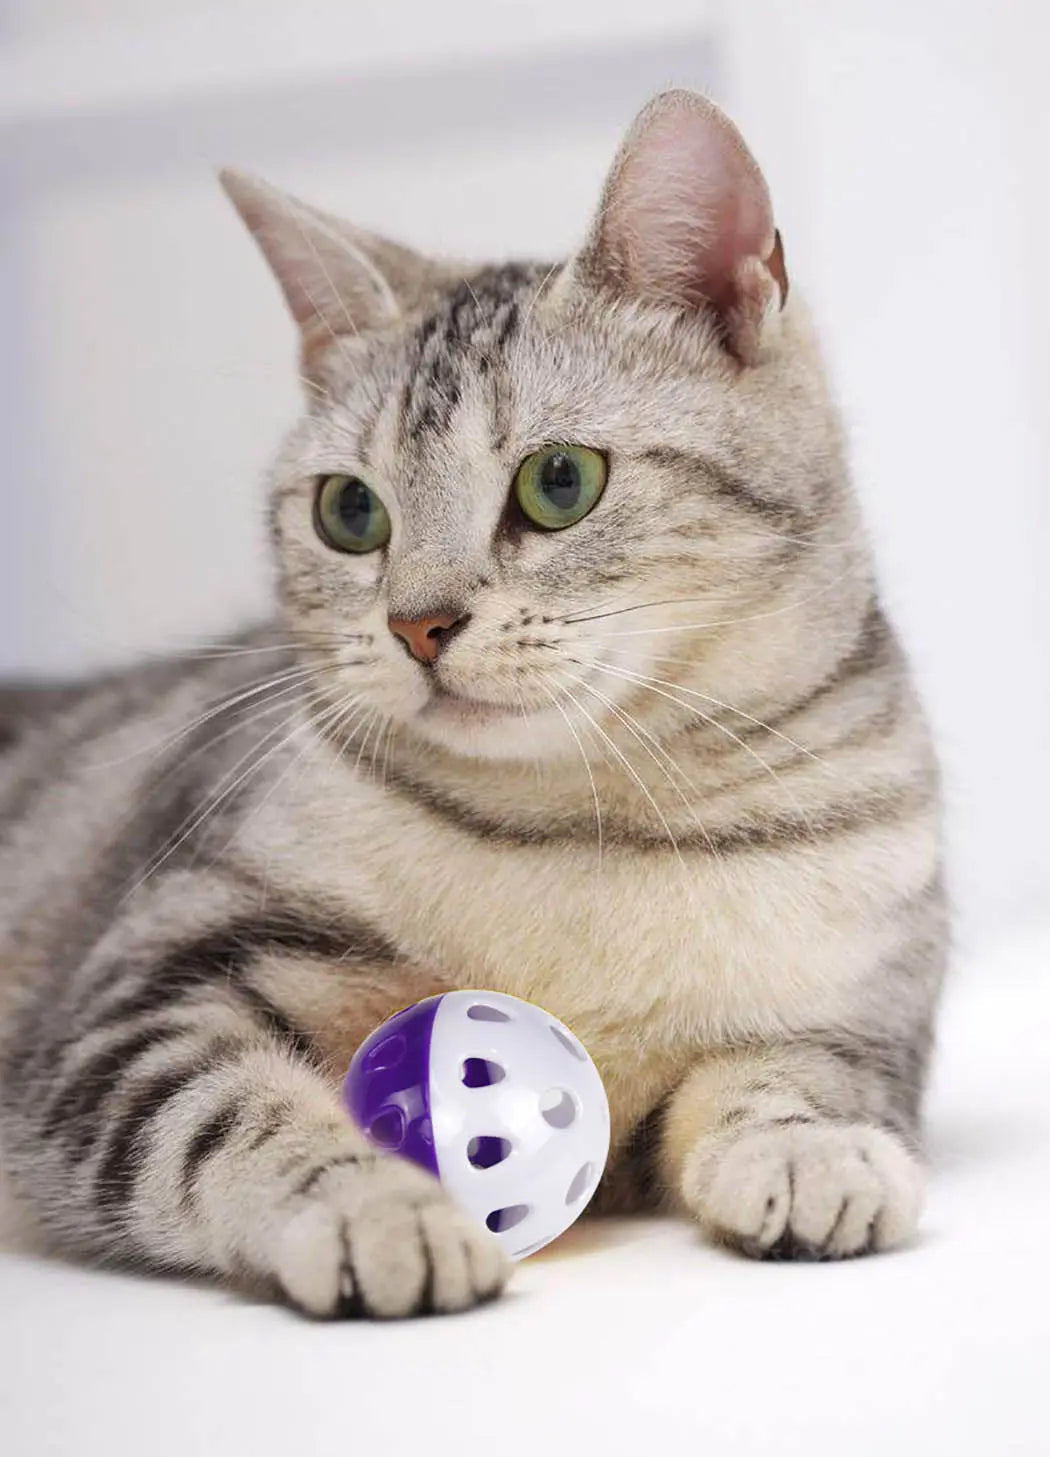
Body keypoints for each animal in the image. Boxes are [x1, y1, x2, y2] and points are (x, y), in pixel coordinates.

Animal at [0, 91, 943, 1322]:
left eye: (559, 481)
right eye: (350, 511)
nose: (418, 624)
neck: (587, 824)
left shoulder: (863, 1007)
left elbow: (802, 1075)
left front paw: (809, 1150)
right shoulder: (134, 999)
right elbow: (227, 1115)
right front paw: (372, 1207)